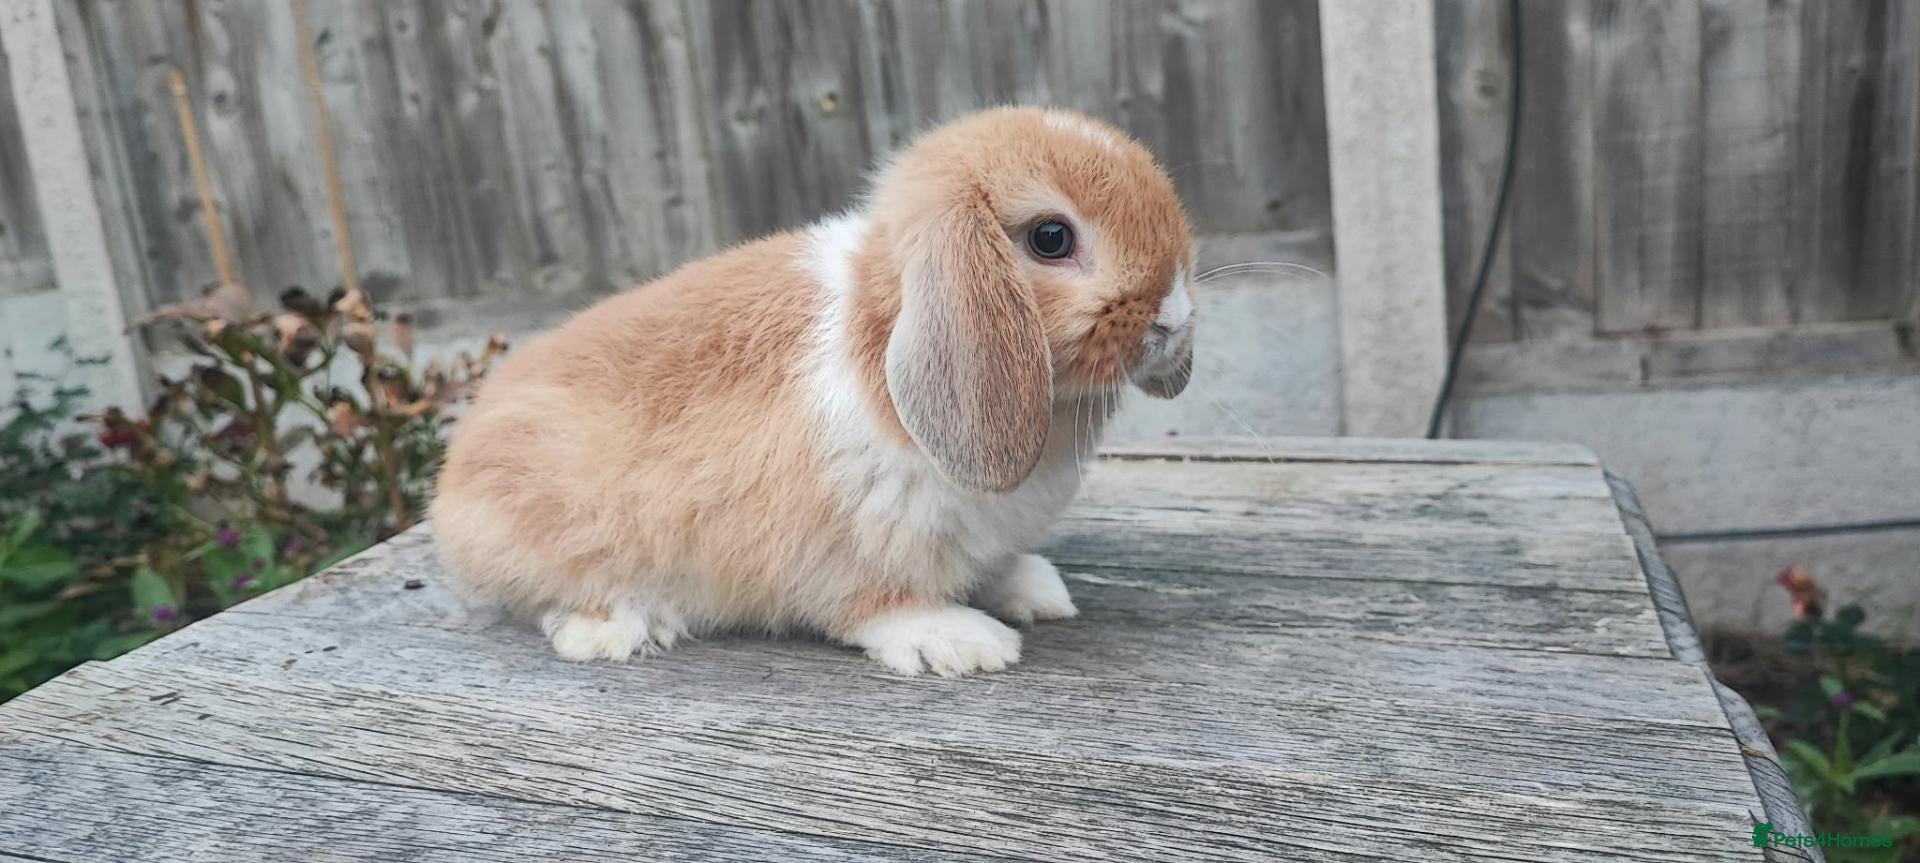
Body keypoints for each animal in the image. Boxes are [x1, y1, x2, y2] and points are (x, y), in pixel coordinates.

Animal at [429, 107, 1195, 677]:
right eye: (1051, 237)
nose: (1175, 317)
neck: (880, 338)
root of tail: (451, 487)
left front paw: (1036, 591)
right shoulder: (836, 547)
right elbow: (879, 604)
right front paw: (962, 643)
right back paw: (621, 627)